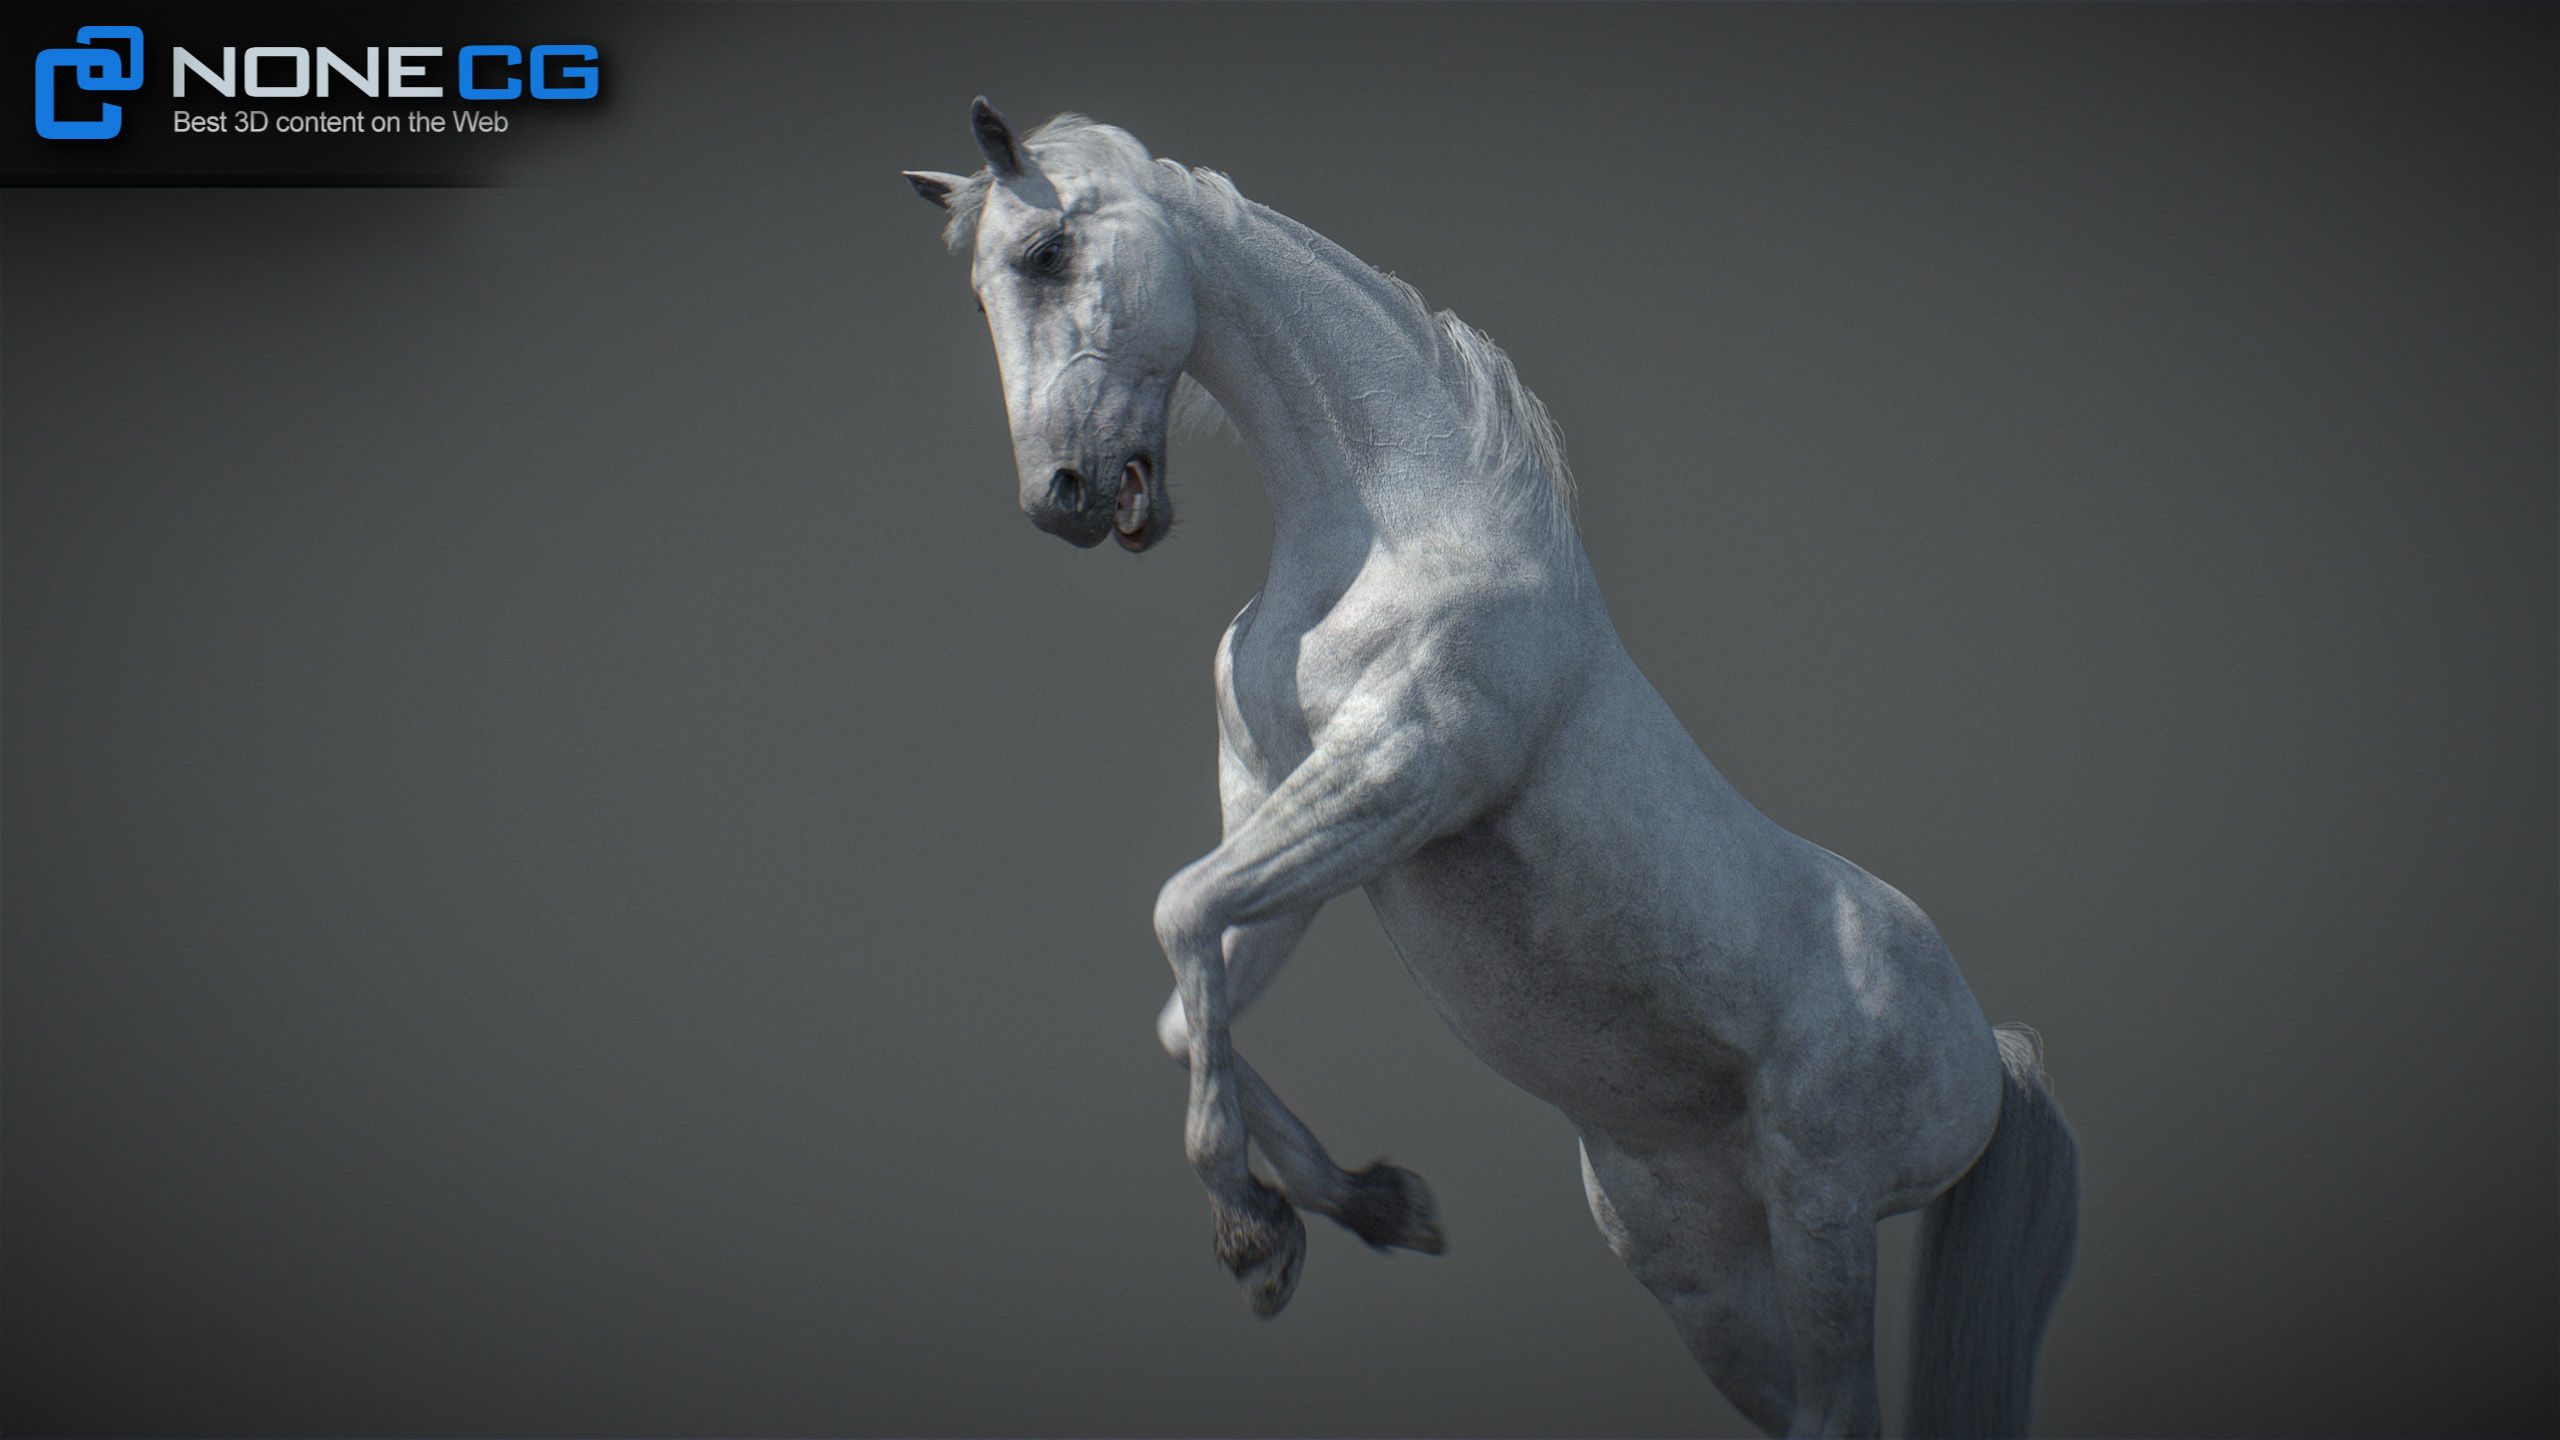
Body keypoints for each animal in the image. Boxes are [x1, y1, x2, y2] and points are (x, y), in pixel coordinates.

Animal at [903, 100, 2079, 1439]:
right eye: (980, 291)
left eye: (1047, 252)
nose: (1061, 497)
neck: (1393, 534)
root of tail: (1987, 1051)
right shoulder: (1281, 814)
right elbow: (1181, 1000)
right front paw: (1372, 1206)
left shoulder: (1399, 776)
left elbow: (1179, 911)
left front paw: (1254, 1236)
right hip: (1696, 1265)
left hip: (1819, 1212)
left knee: (1840, 1413)